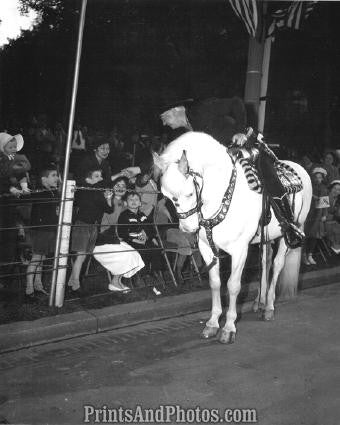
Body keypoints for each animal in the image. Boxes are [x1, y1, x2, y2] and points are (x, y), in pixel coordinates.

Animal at [153, 132, 312, 344]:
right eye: (166, 196)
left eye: (189, 193)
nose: (188, 228)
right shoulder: (206, 247)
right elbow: (215, 283)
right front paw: (212, 324)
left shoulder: (239, 250)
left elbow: (233, 286)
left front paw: (228, 328)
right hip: (265, 238)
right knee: (265, 262)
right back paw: (260, 301)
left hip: (291, 233)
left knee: (278, 264)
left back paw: (269, 307)